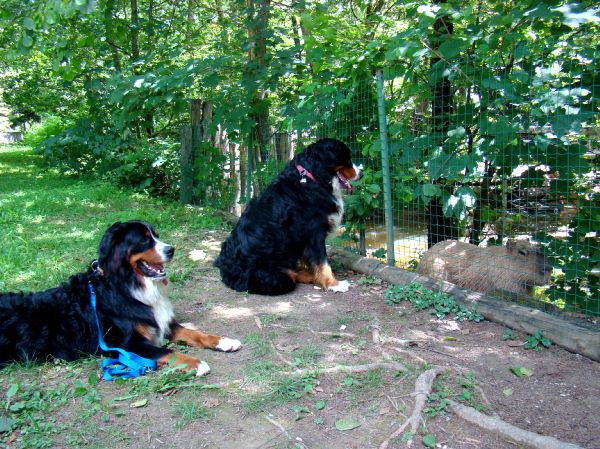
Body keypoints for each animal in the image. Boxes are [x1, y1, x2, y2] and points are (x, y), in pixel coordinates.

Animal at [0, 220, 239, 374]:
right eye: (144, 240)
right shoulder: (129, 344)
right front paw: (196, 363)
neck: (127, 286)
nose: (171, 250)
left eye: (157, 235)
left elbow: (195, 333)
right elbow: (168, 351)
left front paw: (224, 341)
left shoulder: (162, 323)